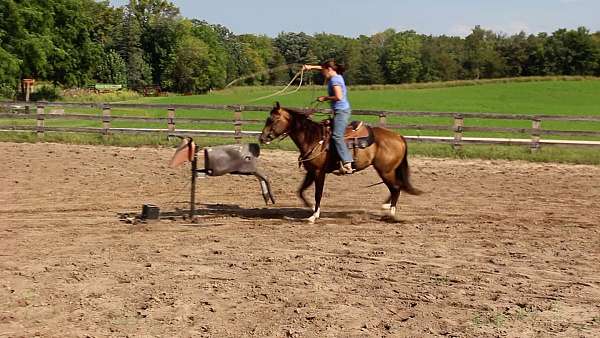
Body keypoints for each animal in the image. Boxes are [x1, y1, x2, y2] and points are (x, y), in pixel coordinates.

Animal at [258, 101, 422, 222]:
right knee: (396, 187)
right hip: (386, 170)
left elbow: (318, 193)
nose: (262, 138)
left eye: (272, 120)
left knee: (396, 188)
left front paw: (314, 216)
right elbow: (301, 191)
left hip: (385, 170)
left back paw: (391, 214)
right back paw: (386, 207)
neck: (314, 138)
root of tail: (399, 136)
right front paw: (311, 208)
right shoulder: (311, 171)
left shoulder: (319, 172)